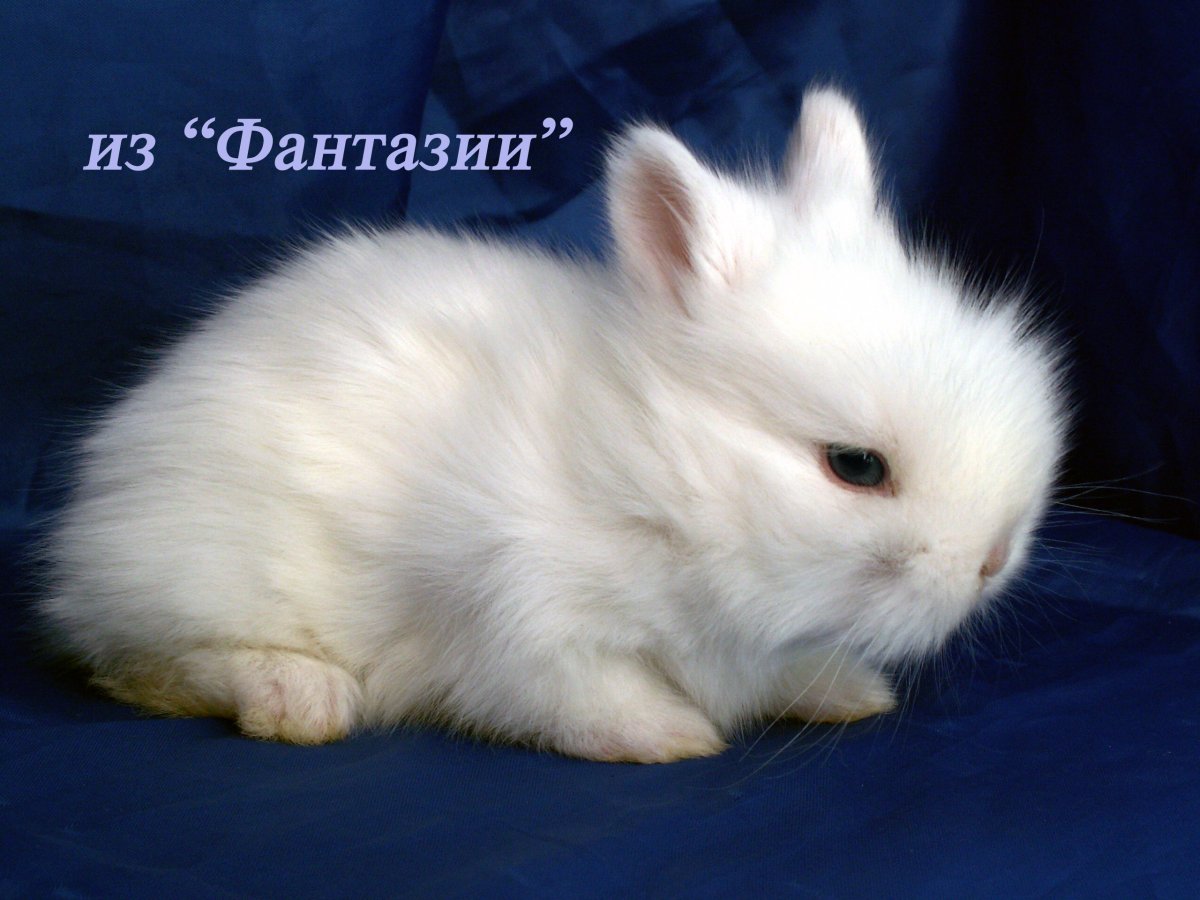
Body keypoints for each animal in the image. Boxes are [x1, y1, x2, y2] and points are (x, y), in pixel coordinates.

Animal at [38, 87, 1068, 762]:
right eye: (855, 466)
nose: (991, 560)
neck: (648, 460)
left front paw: (848, 694)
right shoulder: (524, 623)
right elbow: (582, 701)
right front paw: (675, 738)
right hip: (201, 569)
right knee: (146, 664)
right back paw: (300, 696)